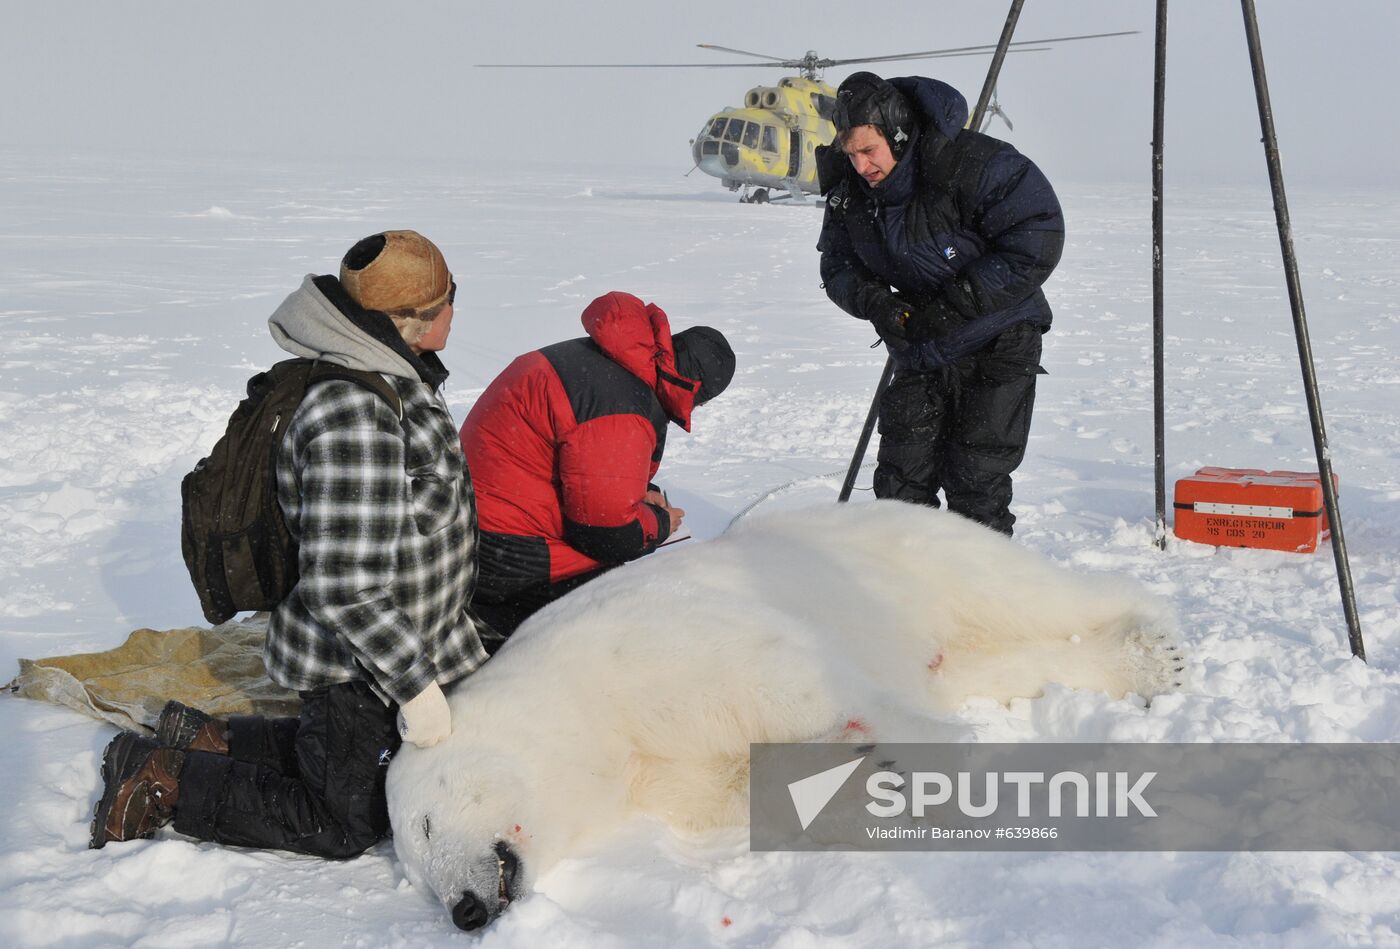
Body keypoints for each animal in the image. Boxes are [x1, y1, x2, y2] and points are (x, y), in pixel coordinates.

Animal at [385, 501, 1184, 931]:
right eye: (420, 878)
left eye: (425, 823)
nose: (463, 910)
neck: (591, 719)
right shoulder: (662, 778)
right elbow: (743, 788)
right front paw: (859, 774)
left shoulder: (643, 646)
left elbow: (785, 680)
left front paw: (927, 765)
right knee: (1003, 659)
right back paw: (1144, 662)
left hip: (909, 553)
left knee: (1027, 591)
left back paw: (1157, 629)